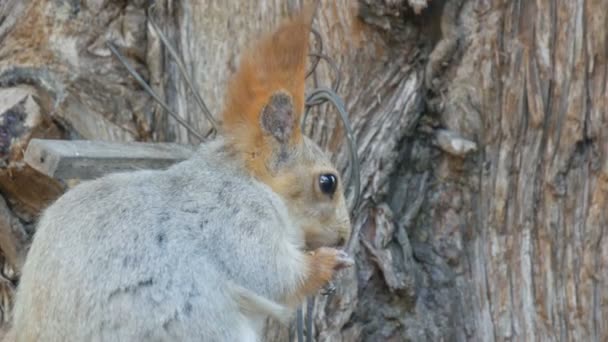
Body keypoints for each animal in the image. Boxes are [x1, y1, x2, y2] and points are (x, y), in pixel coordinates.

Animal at [7, 6, 354, 342]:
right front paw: (327, 263)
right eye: (328, 183)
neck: (249, 180)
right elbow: (271, 274)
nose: (345, 235)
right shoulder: (236, 217)